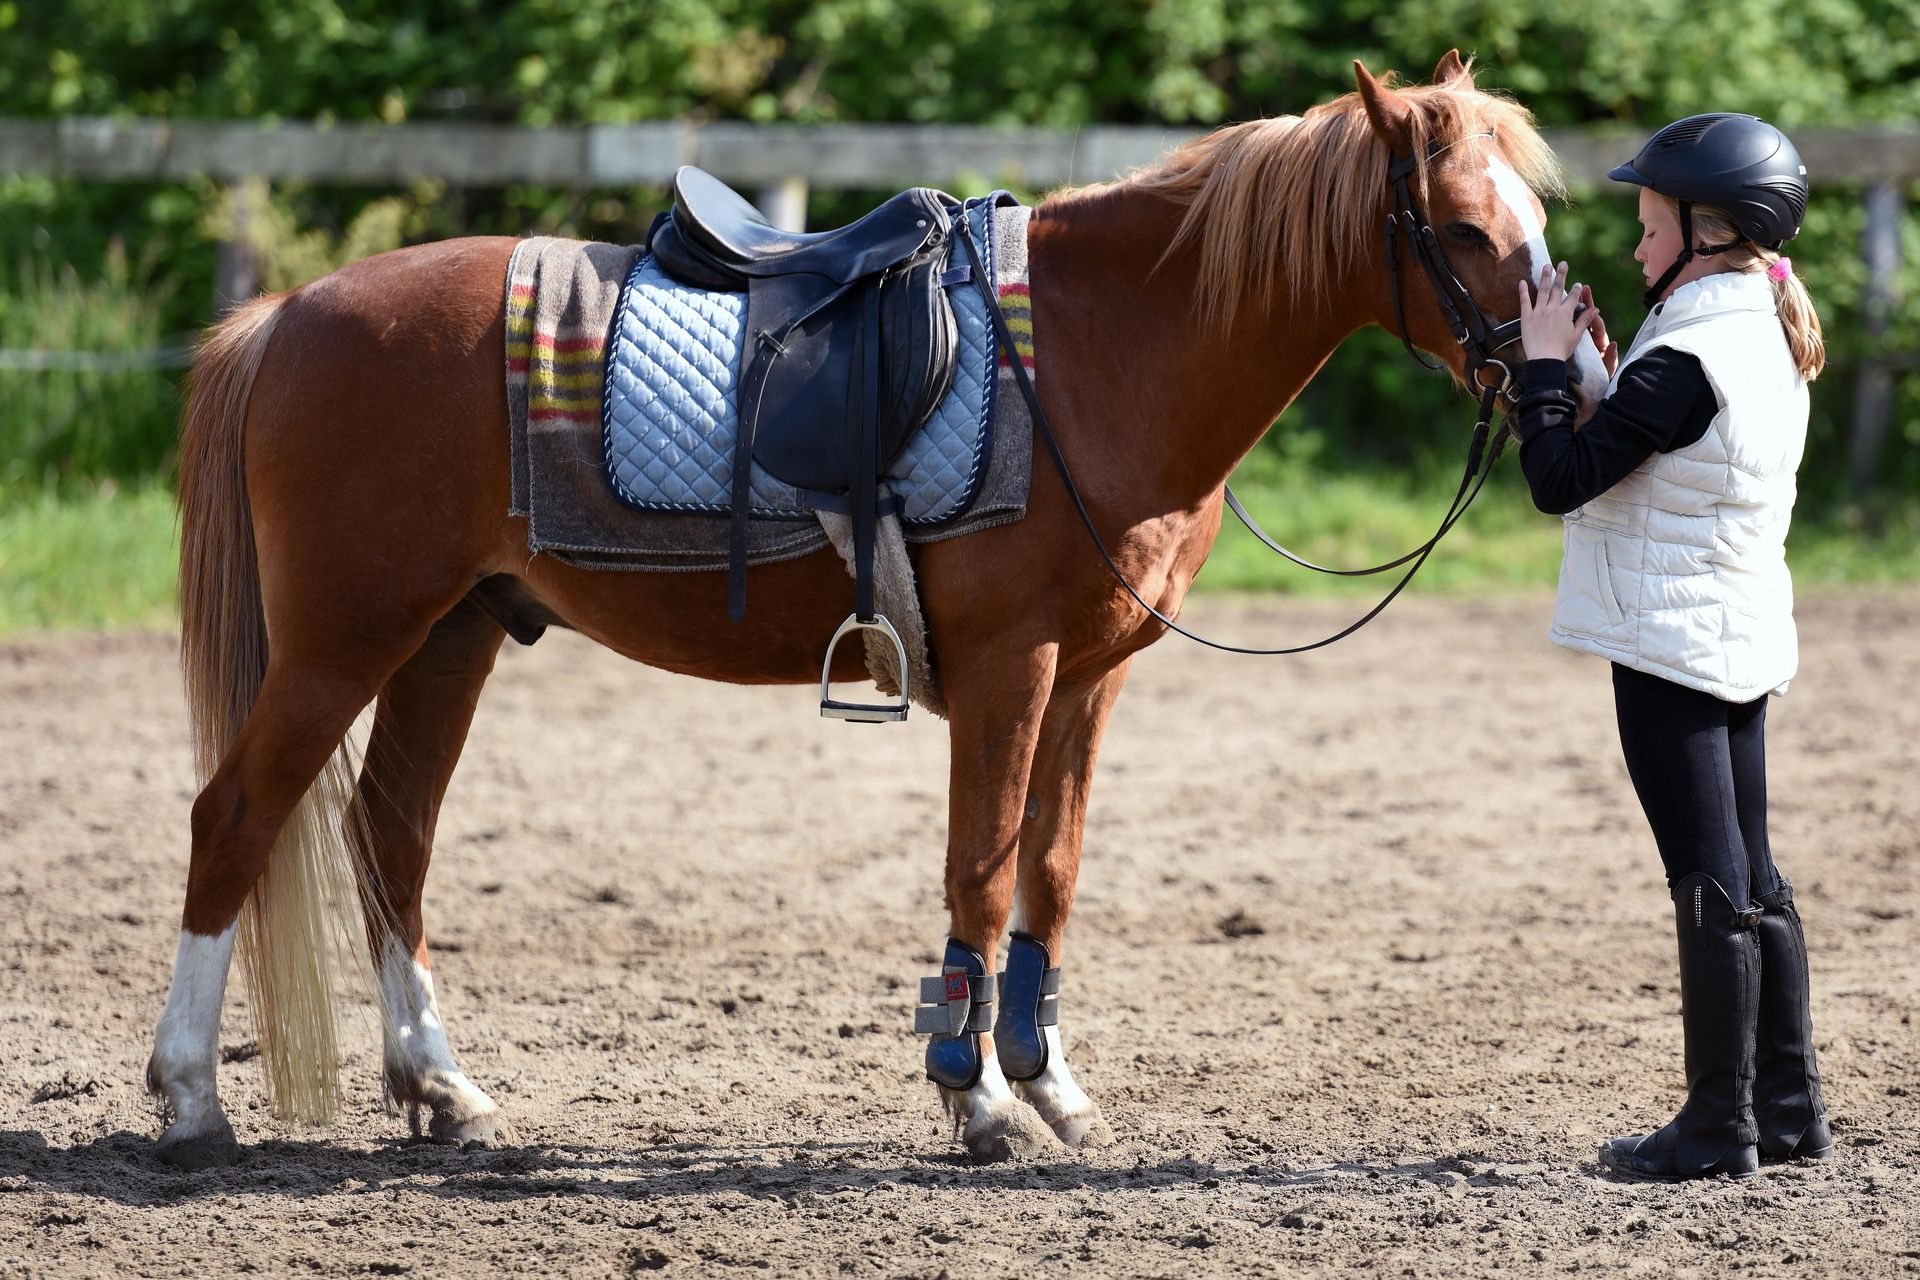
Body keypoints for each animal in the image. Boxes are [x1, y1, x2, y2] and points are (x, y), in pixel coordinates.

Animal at [146, 52, 1600, 1169]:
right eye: (1463, 229)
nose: (1579, 384)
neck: (1100, 355)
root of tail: (289, 313)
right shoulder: (1015, 668)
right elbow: (982, 867)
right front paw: (978, 1095)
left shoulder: (1092, 678)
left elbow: (1052, 870)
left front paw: (1049, 1081)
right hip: (342, 642)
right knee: (234, 819)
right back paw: (189, 1100)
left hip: (450, 635)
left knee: (389, 836)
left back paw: (438, 1086)